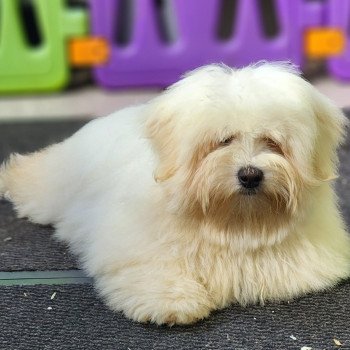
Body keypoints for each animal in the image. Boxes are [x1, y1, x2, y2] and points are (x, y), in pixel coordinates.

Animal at [0, 63, 350, 326]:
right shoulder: (137, 245)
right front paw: (173, 301)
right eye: (223, 140)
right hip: (56, 185)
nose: (250, 175)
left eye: (273, 142)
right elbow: (155, 270)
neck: (233, 221)